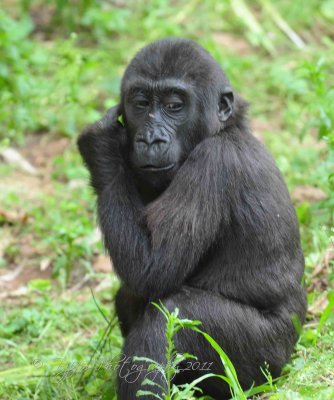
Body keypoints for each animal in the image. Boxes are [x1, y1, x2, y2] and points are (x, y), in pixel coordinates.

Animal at [77, 38, 306, 400]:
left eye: (174, 105)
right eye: (140, 103)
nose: (150, 139)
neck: (228, 127)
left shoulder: (214, 163)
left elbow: (152, 269)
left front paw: (100, 146)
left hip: (267, 363)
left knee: (171, 314)